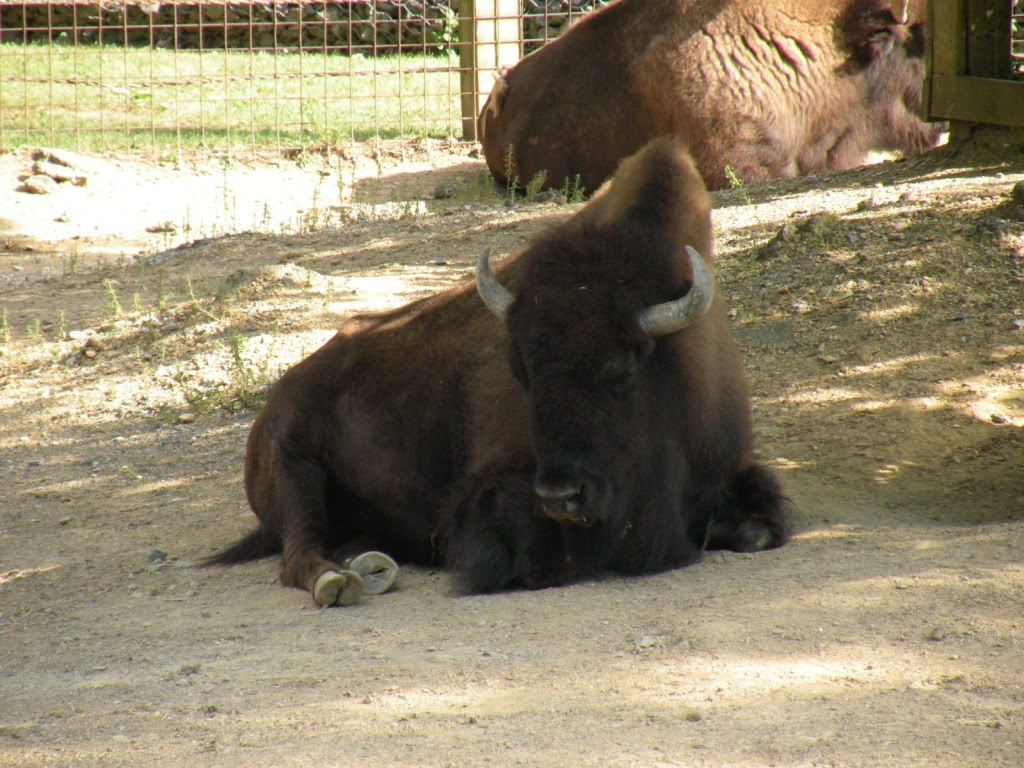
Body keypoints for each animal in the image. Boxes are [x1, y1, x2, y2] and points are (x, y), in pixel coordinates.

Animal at [203, 138, 786, 606]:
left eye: (621, 372)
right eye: (520, 371)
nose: (559, 496)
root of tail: (277, 398)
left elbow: (762, 529)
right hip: (293, 463)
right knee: (299, 549)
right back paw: (341, 581)